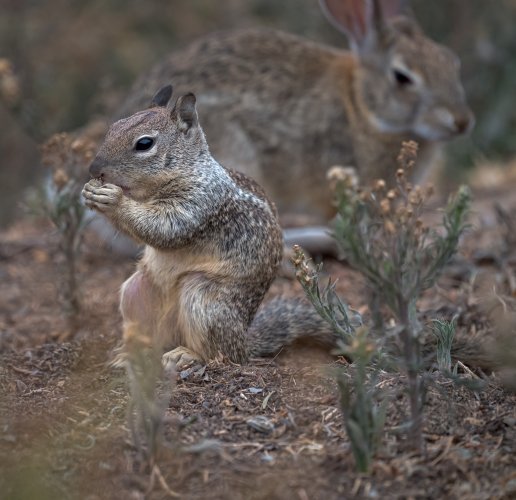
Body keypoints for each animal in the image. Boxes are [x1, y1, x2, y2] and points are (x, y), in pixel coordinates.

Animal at [81, 86, 334, 368]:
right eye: (114, 126)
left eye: (144, 143)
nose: (94, 169)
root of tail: (244, 341)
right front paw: (90, 192)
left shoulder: (200, 202)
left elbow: (164, 228)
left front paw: (113, 199)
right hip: (135, 294)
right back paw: (130, 355)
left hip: (203, 302)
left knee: (220, 354)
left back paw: (186, 354)